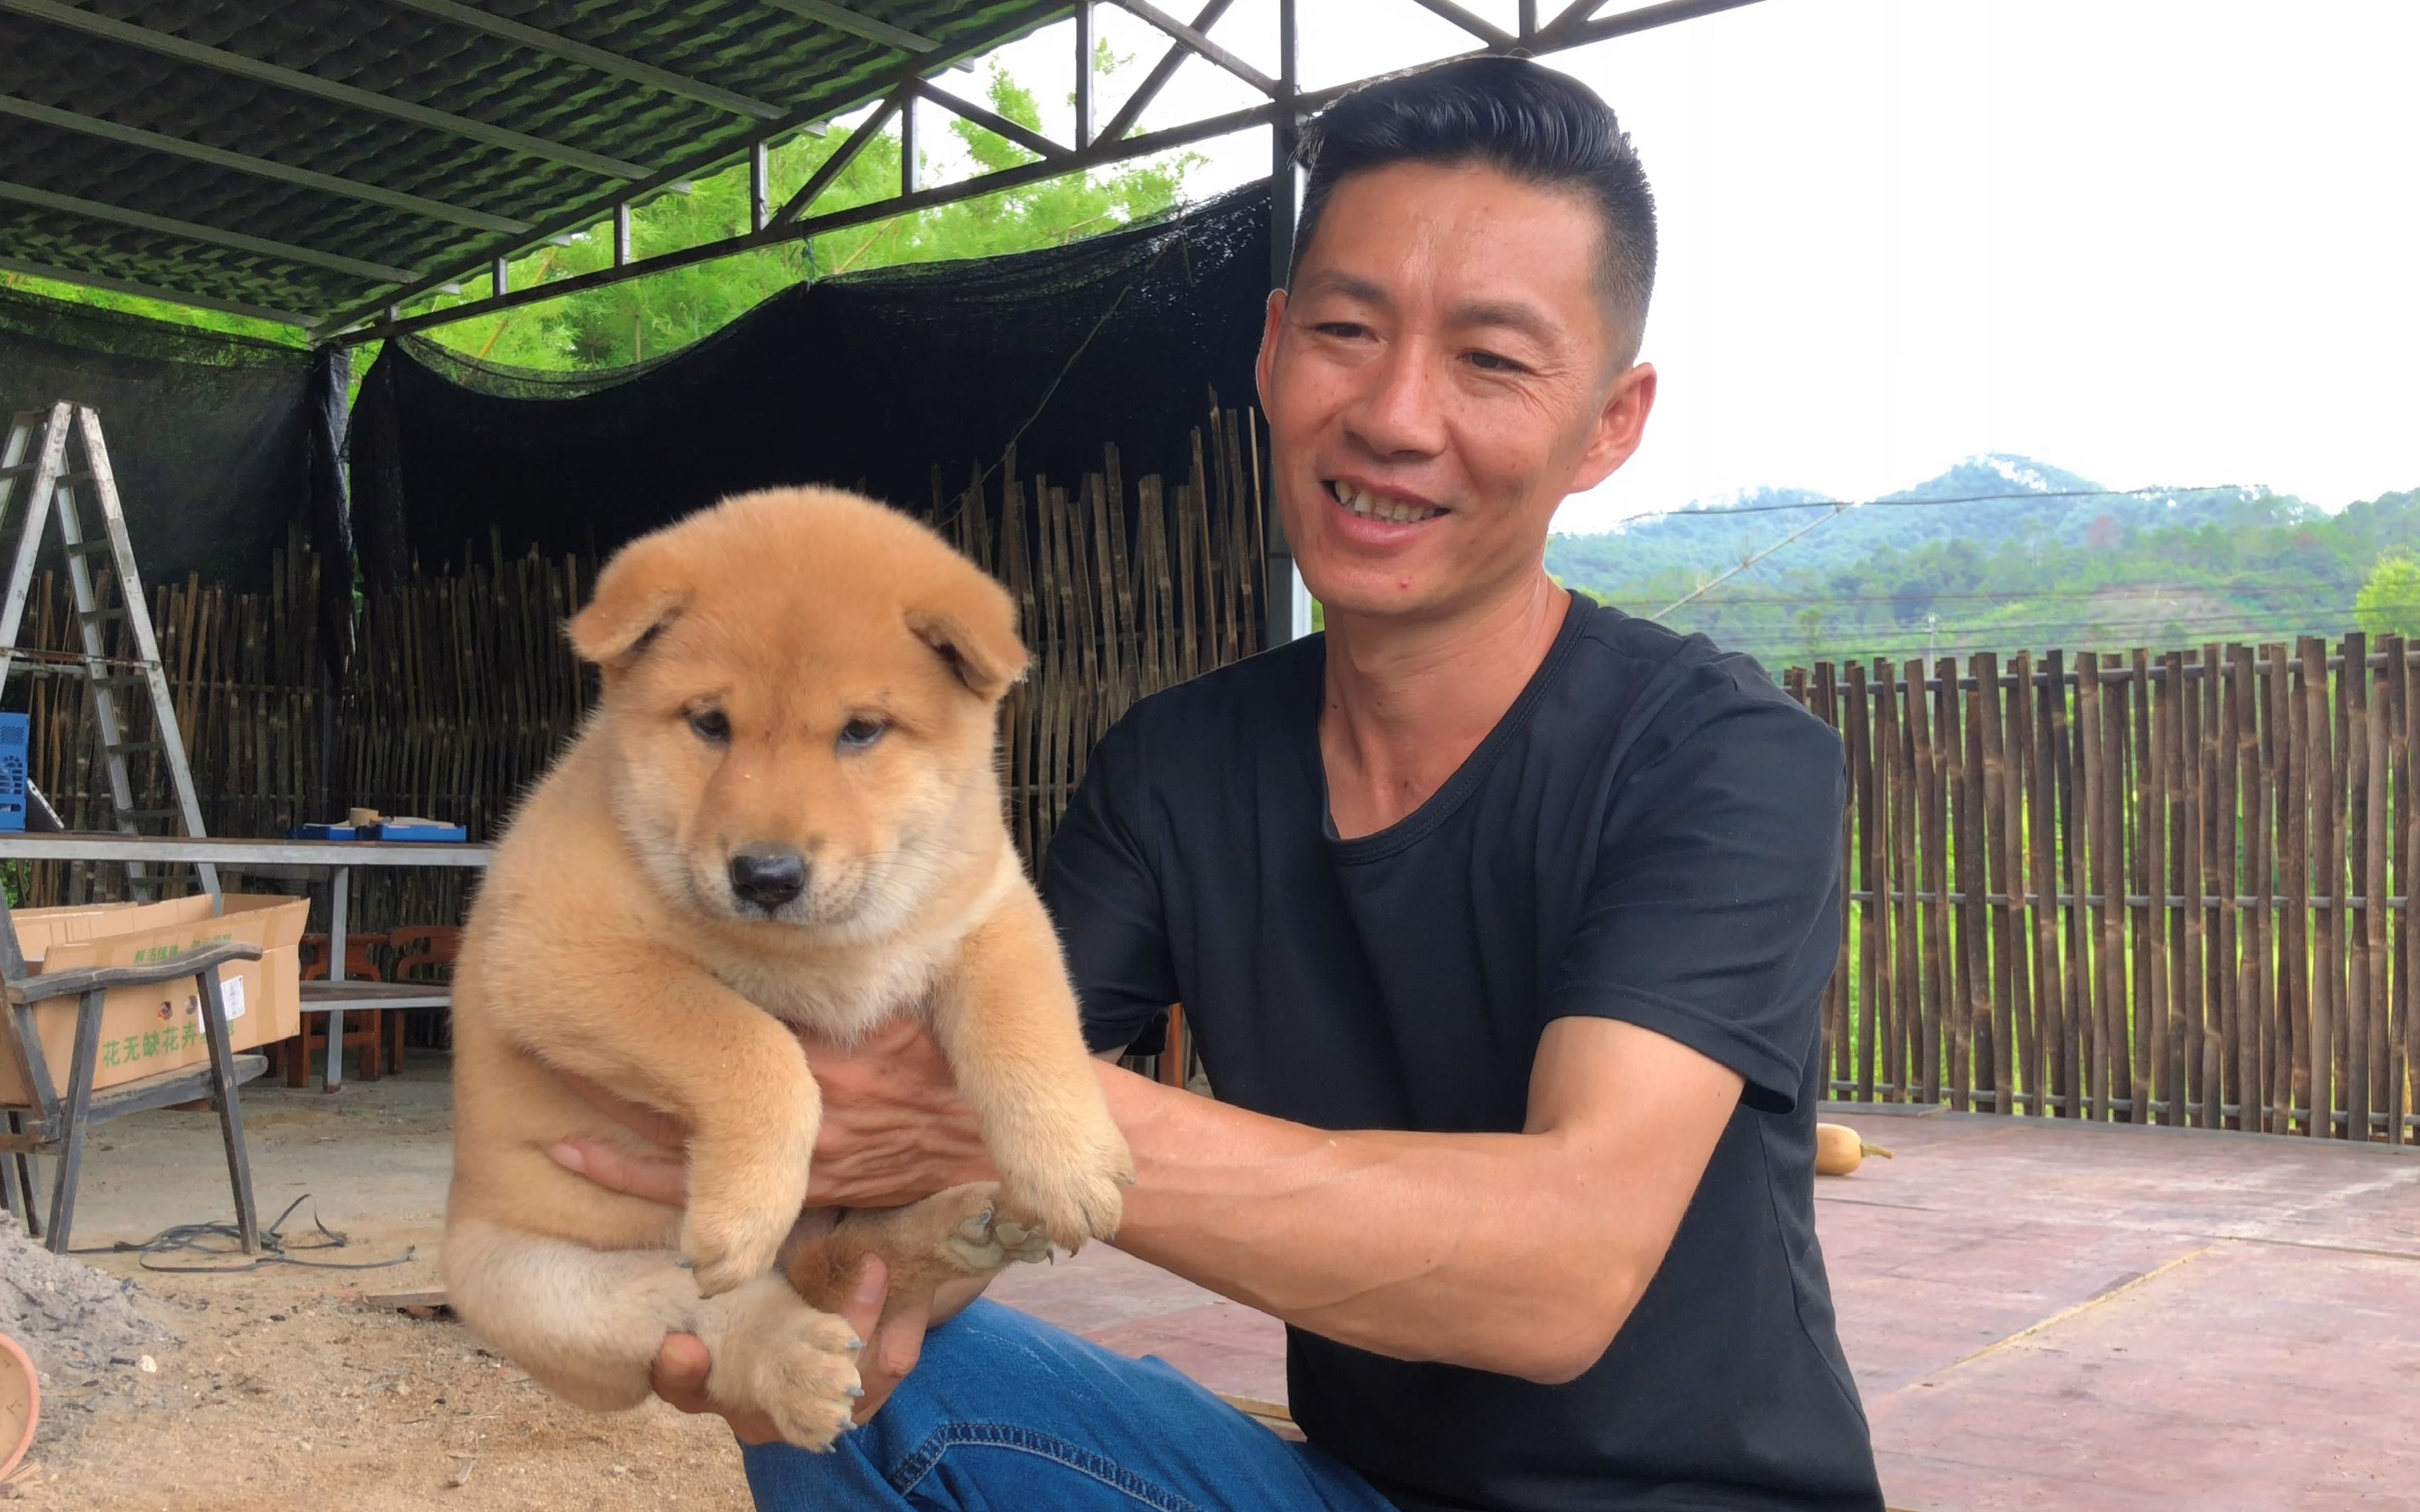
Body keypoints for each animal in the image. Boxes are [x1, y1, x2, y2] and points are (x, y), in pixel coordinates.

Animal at [442, 486, 1132, 1451]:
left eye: (861, 731)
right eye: (710, 724)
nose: (765, 876)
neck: (836, 943)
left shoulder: (990, 910)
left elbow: (1029, 1030)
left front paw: (1072, 1164)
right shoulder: (554, 950)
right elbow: (750, 1042)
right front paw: (747, 1202)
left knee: (835, 1263)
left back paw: (955, 1230)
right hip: (537, 1284)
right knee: (721, 1307)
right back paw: (794, 1358)